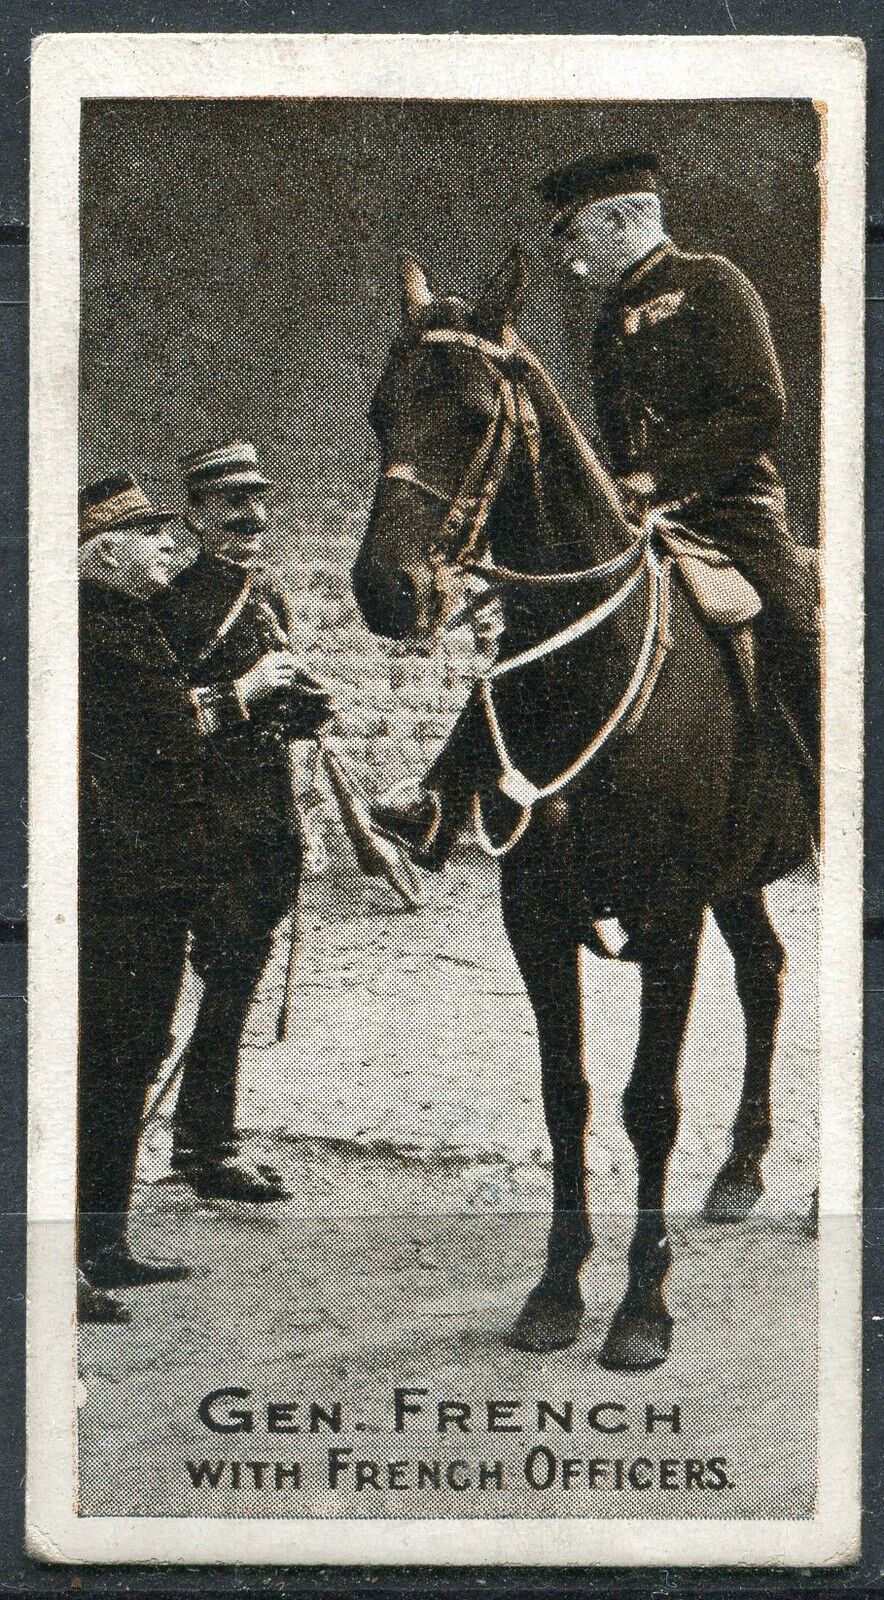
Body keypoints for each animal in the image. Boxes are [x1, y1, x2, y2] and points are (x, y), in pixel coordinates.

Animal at [349, 249, 810, 1376]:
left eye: (476, 415)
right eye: (382, 412)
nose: (387, 590)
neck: (588, 665)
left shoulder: (669, 920)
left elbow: (649, 1106)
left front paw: (642, 1308)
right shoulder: (537, 917)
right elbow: (568, 1097)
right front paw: (556, 1291)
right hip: (735, 881)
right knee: (767, 974)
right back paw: (740, 1171)